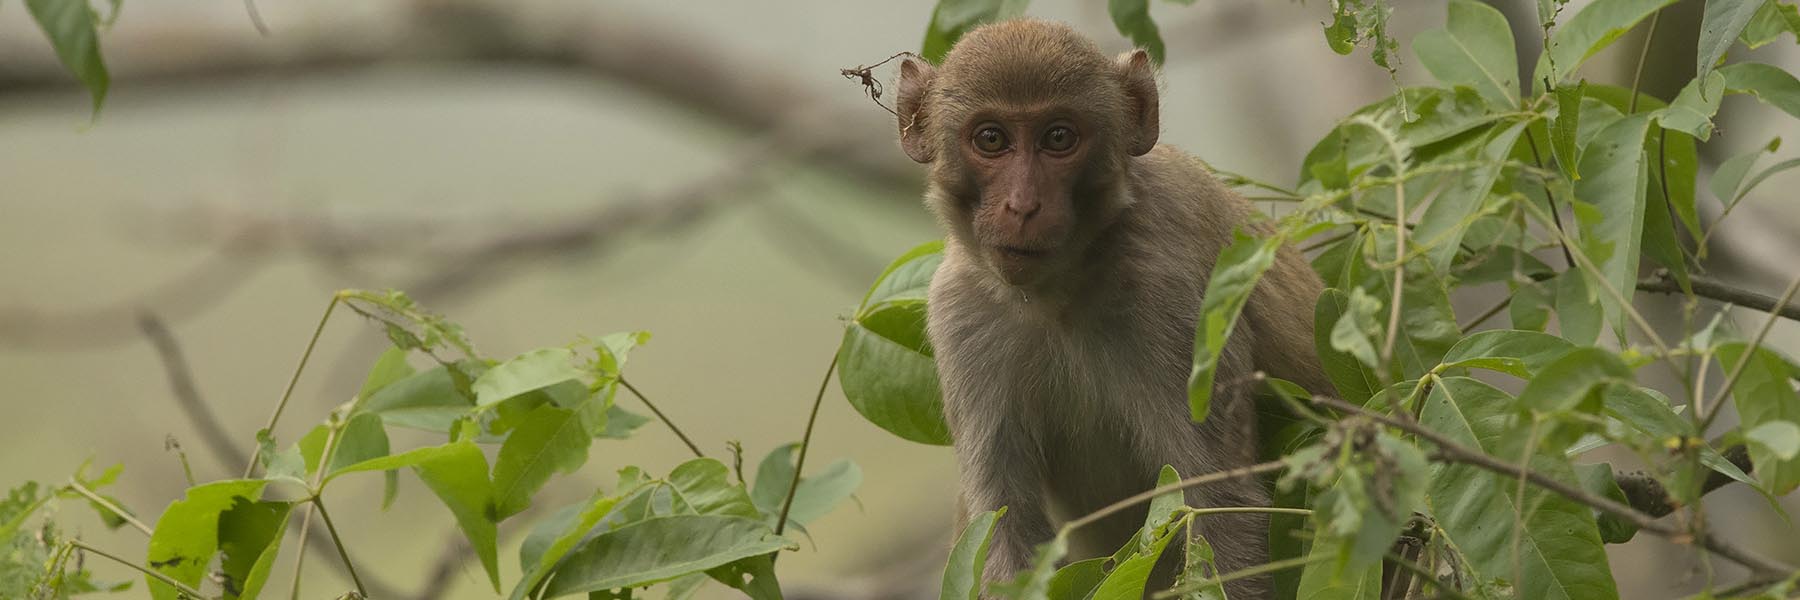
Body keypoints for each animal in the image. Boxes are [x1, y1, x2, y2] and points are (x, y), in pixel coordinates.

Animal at [893, 19, 1329, 599]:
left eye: (1059, 138)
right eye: (991, 139)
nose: (1022, 206)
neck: (1058, 292)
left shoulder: (1169, 297)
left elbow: (1219, 507)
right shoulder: (960, 313)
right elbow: (1004, 529)